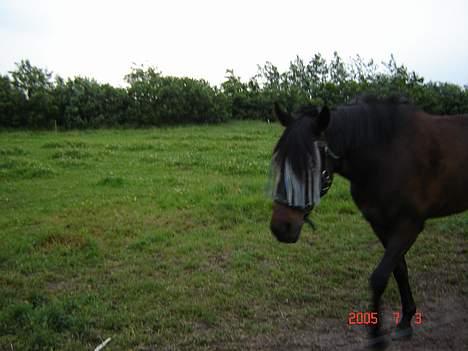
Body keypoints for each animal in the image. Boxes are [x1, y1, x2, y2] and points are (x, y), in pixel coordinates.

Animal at [268, 95, 468, 350]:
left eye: (311, 165)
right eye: (279, 161)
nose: (281, 227)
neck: (386, 155)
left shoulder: (409, 225)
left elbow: (379, 278)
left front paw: (377, 335)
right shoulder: (381, 225)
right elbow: (399, 271)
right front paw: (405, 320)